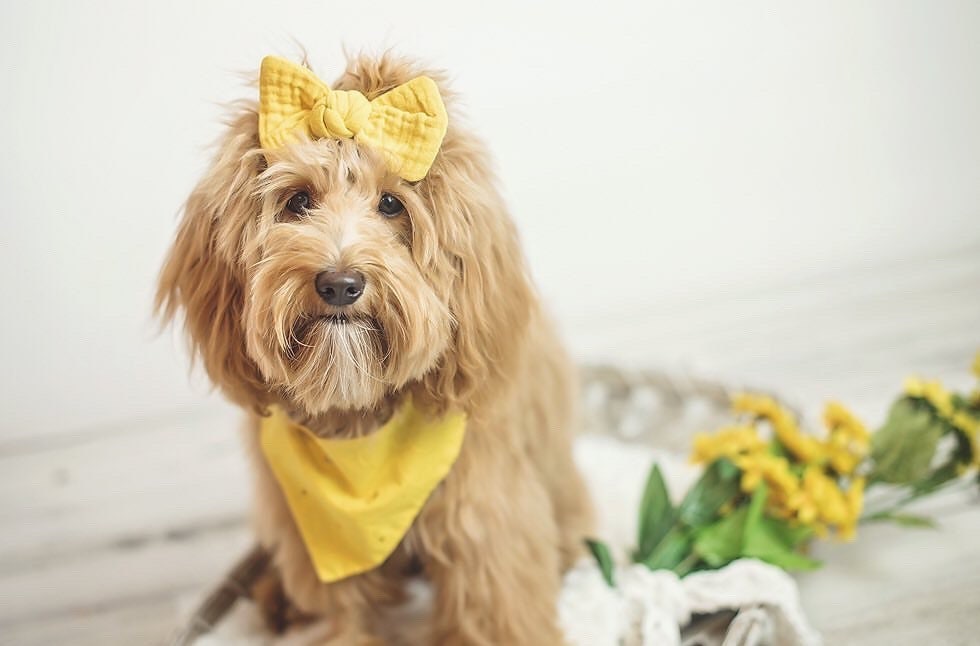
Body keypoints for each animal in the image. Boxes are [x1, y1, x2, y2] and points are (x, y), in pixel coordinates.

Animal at [157, 53, 592, 644]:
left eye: (391, 204)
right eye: (298, 201)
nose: (340, 284)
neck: (359, 425)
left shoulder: (485, 525)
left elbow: (494, 610)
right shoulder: (315, 539)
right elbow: (344, 613)